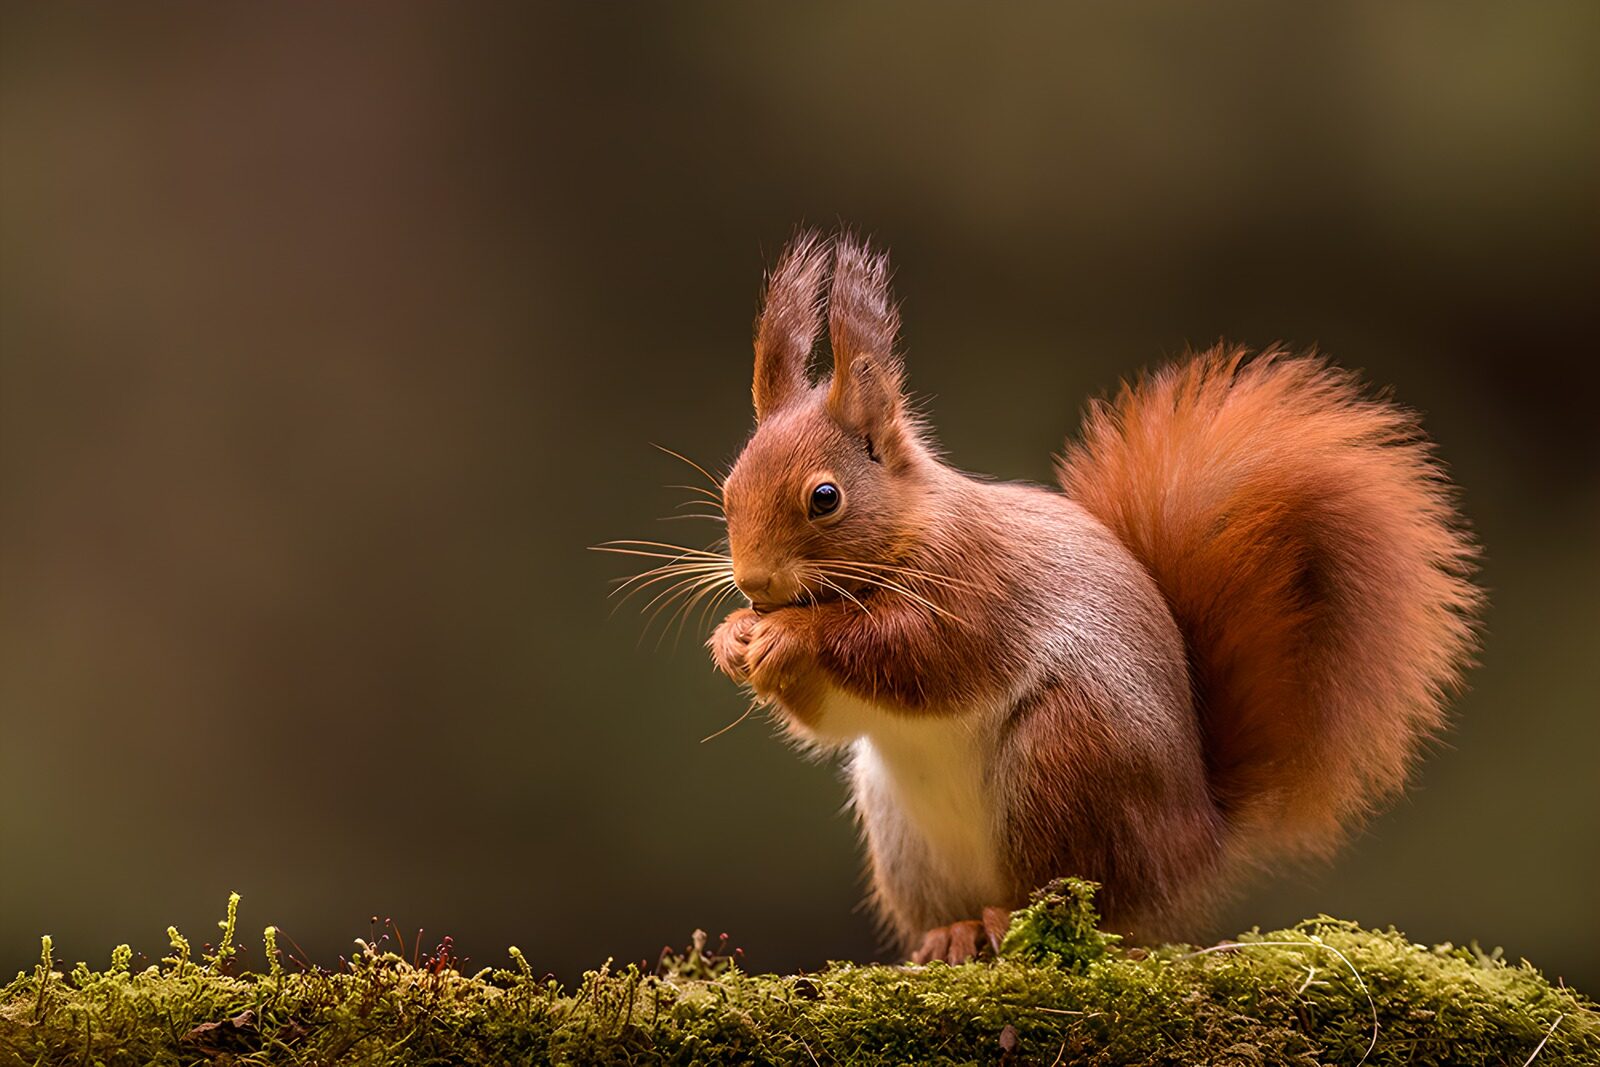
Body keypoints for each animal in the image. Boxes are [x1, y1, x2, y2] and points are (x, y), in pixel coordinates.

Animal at [682, 231, 1481, 964]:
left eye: (825, 498)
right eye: (729, 489)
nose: (755, 583)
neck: (909, 532)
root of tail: (1195, 847)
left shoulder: (979, 588)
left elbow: (916, 654)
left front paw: (791, 636)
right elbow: (832, 718)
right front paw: (734, 640)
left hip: (1065, 760)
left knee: (1098, 904)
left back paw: (1014, 920)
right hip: (903, 830)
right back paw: (953, 933)